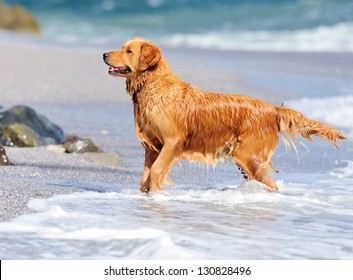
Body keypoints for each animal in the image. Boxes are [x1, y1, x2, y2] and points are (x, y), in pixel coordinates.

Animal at [103, 37, 346, 192]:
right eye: (122, 48)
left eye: (128, 51)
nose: (104, 54)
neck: (153, 85)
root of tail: (273, 109)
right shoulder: (151, 147)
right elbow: (145, 178)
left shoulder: (172, 142)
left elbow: (155, 172)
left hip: (249, 157)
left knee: (272, 185)